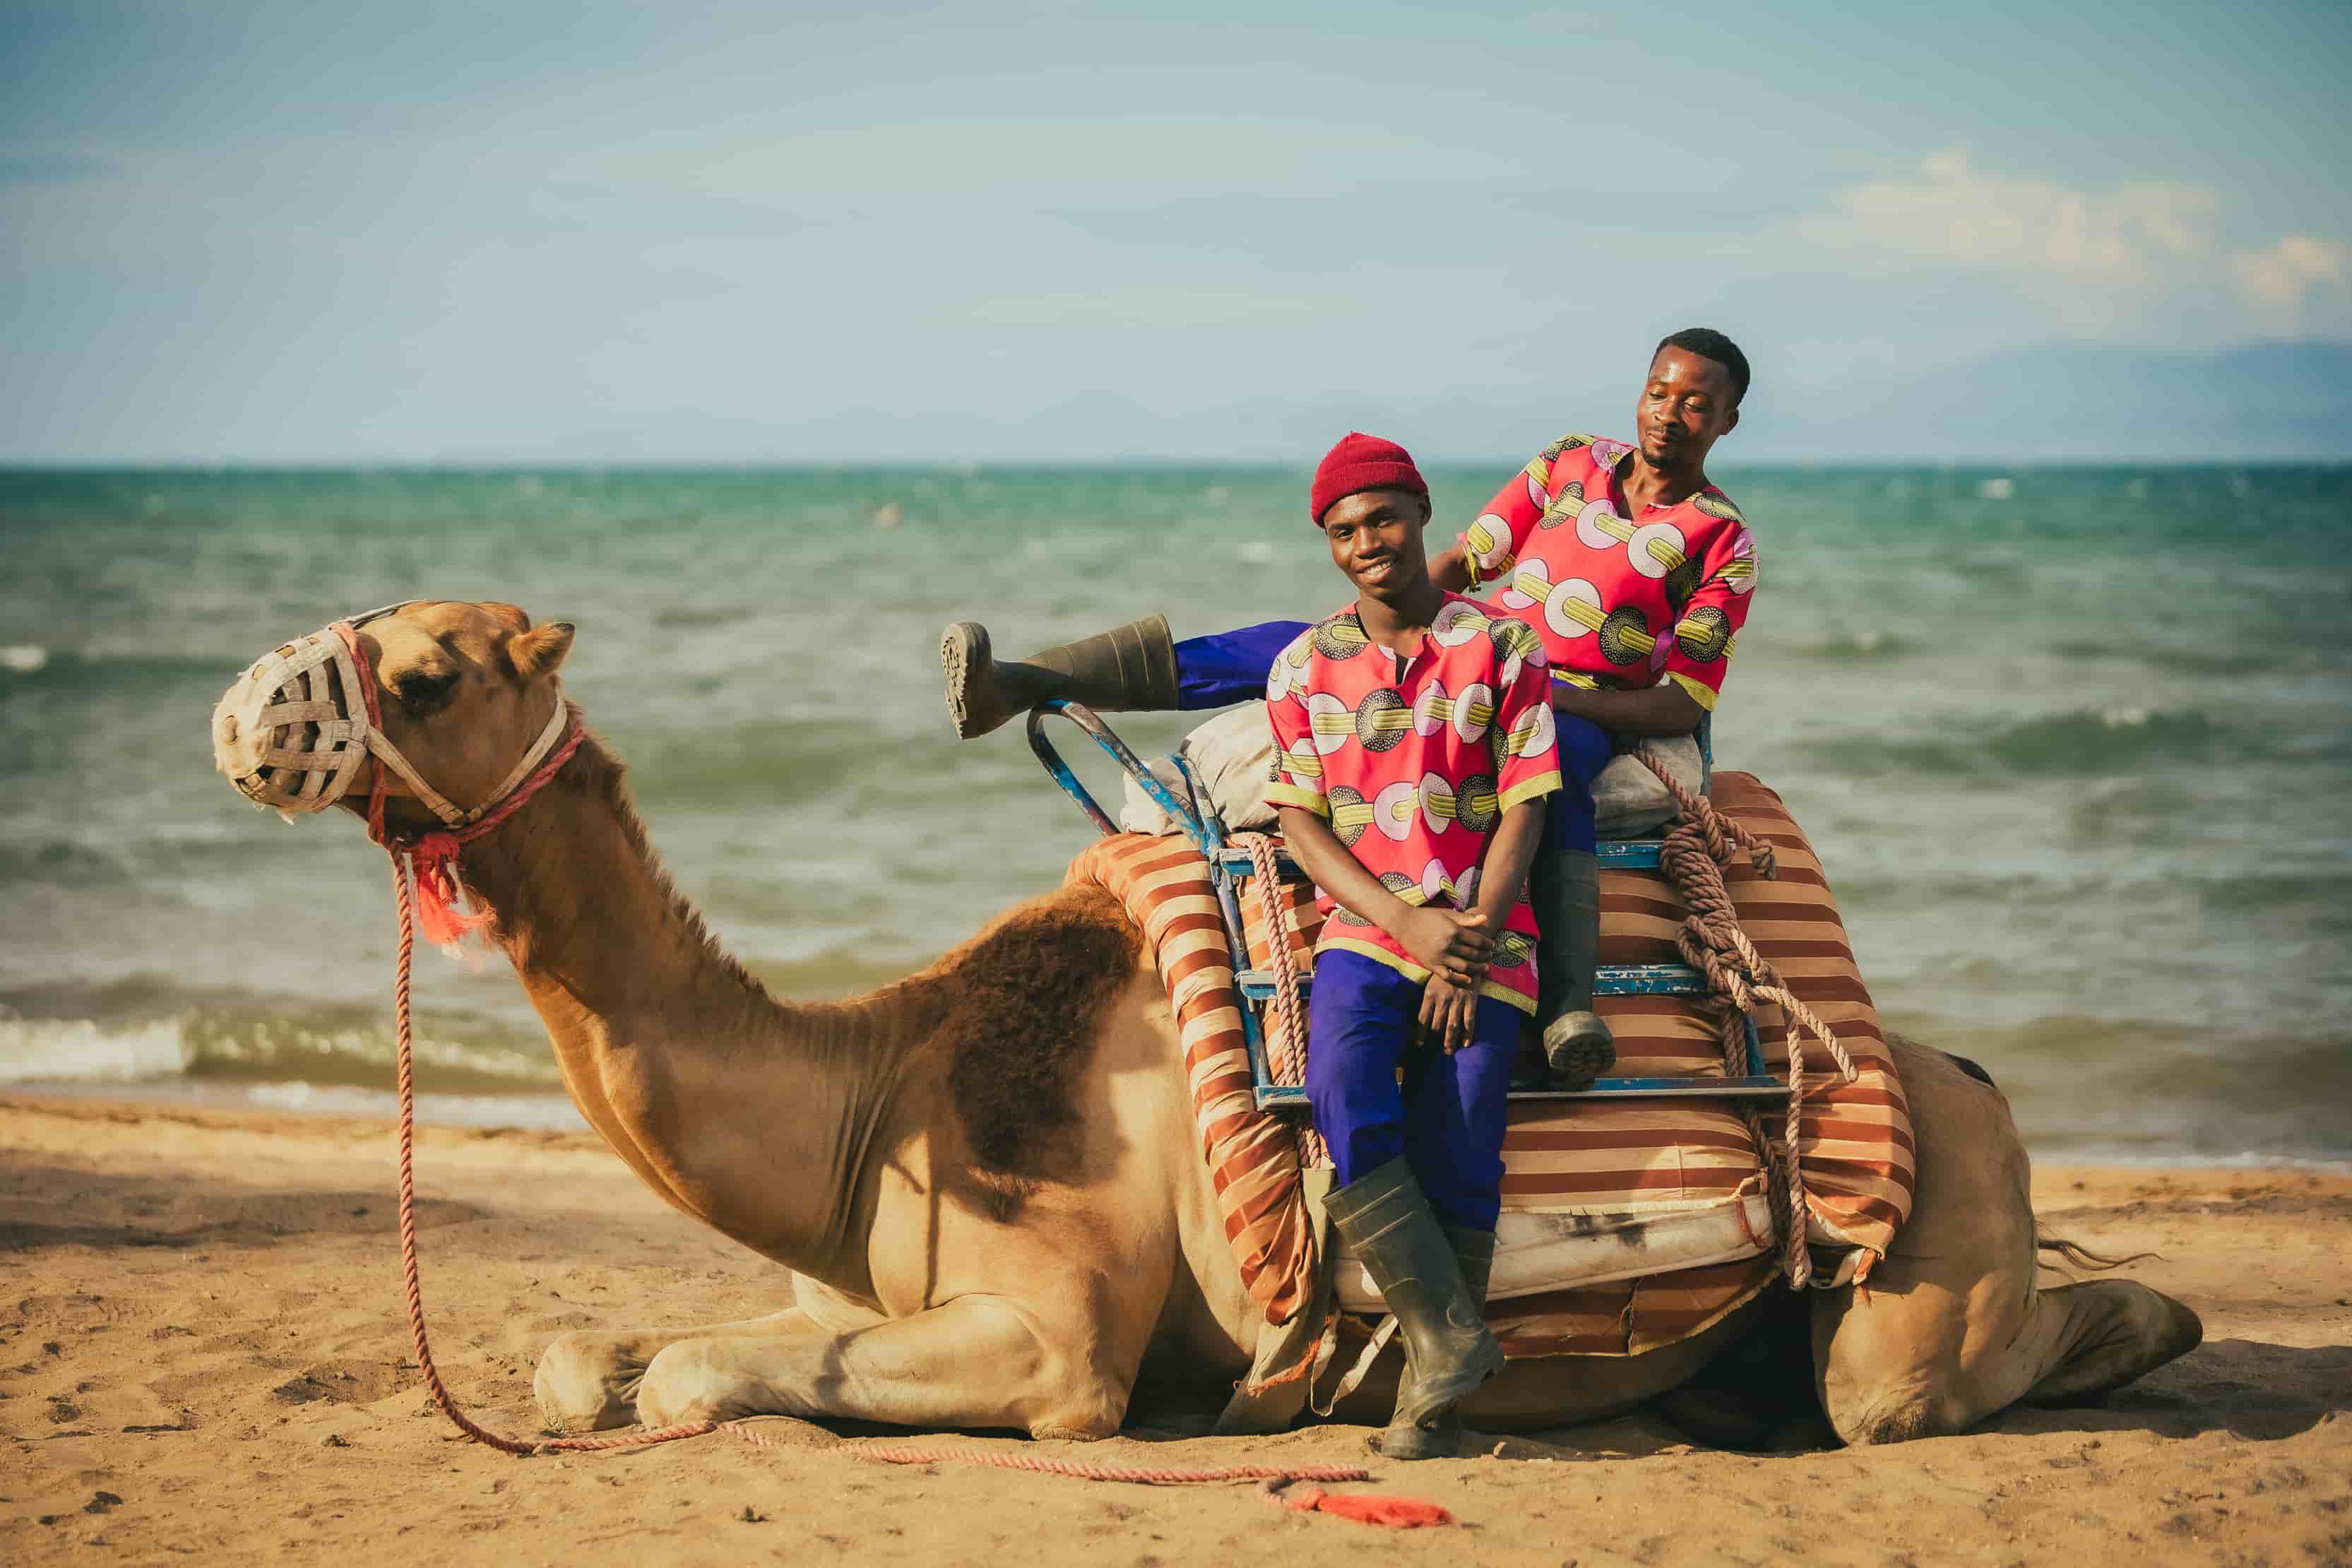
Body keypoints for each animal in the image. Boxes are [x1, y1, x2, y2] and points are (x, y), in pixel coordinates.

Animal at [211, 600, 2202, 1448]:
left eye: (424, 674)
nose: (239, 718)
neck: (880, 1094)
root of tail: (1964, 1079)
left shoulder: (1058, 1347)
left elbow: (700, 1381)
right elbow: (597, 1358)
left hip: (1913, 1262)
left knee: (1914, 1381)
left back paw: (2150, 1322)